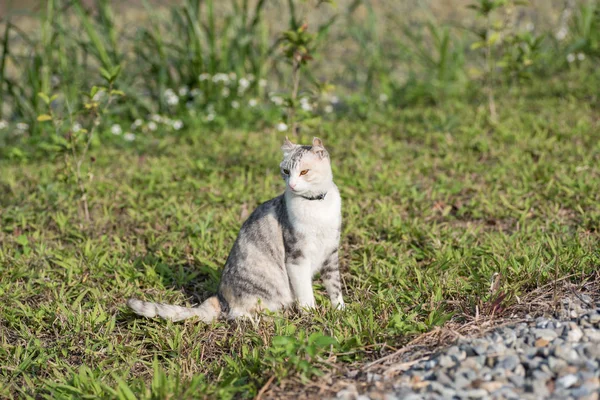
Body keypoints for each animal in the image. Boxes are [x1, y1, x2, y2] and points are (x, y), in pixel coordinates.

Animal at [127, 138, 342, 322]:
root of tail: (219, 297)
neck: (316, 205)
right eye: (286, 171)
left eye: (304, 172)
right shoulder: (297, 257)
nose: (292, 184)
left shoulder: (331, 253)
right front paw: (311, 314)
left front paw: (340, 311)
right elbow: (305, 293)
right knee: (240, 314)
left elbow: (335, 287)